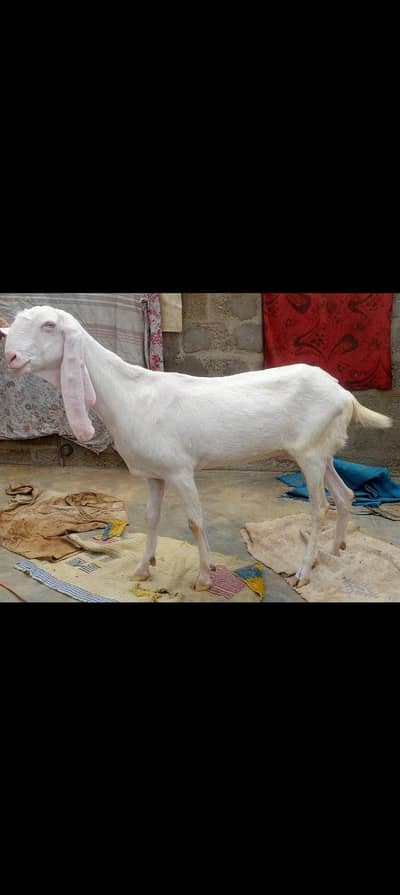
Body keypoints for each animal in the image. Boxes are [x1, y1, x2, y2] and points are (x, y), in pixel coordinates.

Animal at [1, 306, 392, 589]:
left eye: (48, 325)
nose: (11, 357)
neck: (130, 395)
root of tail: (344, 393)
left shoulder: (180, 470)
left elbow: (194, 521)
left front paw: (204, 576)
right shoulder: (154, 475)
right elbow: (152, 517)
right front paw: (143, 568)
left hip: (309, 455)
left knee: (320, 507)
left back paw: (304, 571)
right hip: (322, 450)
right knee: (345, 495)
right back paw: (333, 552)